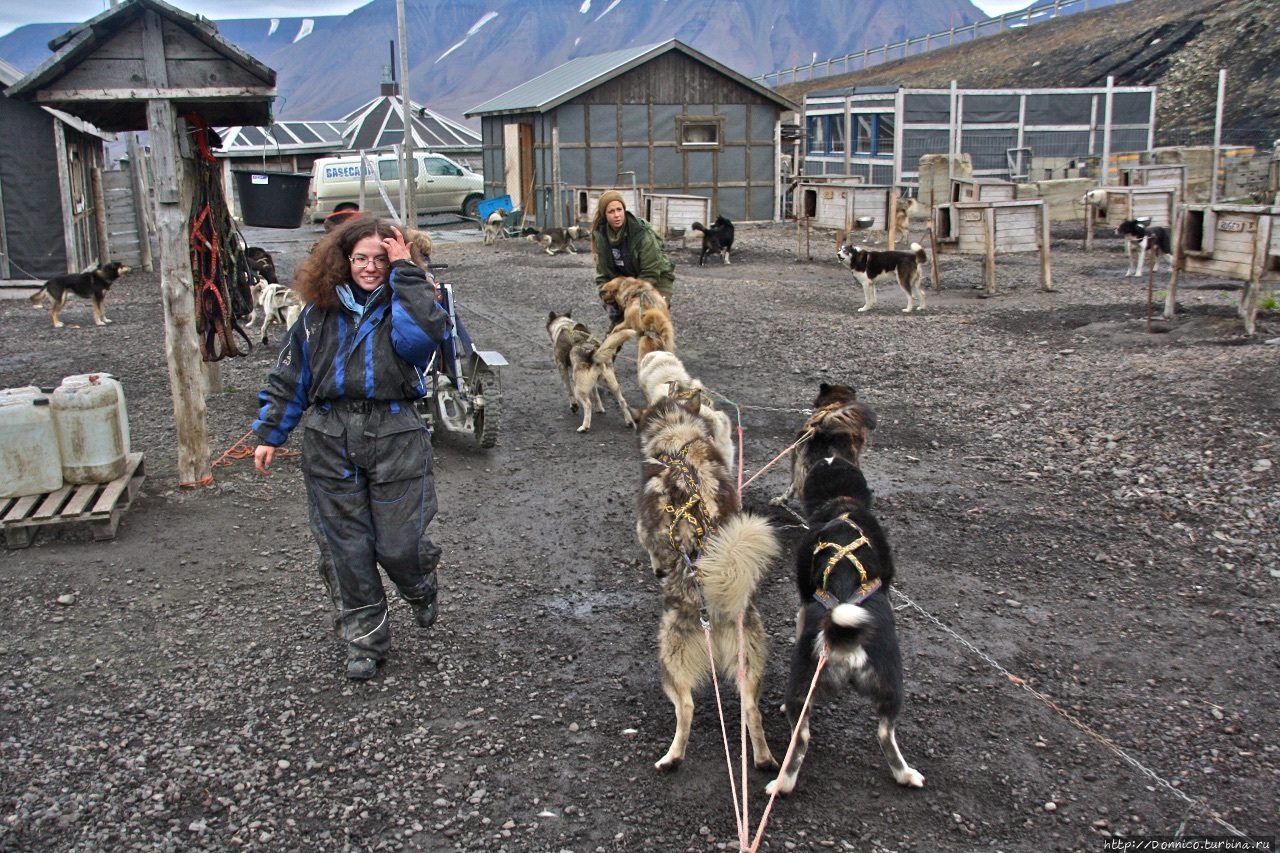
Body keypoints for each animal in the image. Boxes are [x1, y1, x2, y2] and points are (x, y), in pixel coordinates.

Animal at [762, 455, 926, 794]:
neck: (842, 507)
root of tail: (846, 643)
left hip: (809, 688)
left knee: (802, 738)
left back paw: (782, 782)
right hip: (892, 689)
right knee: (884, 734)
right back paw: (905, 774)